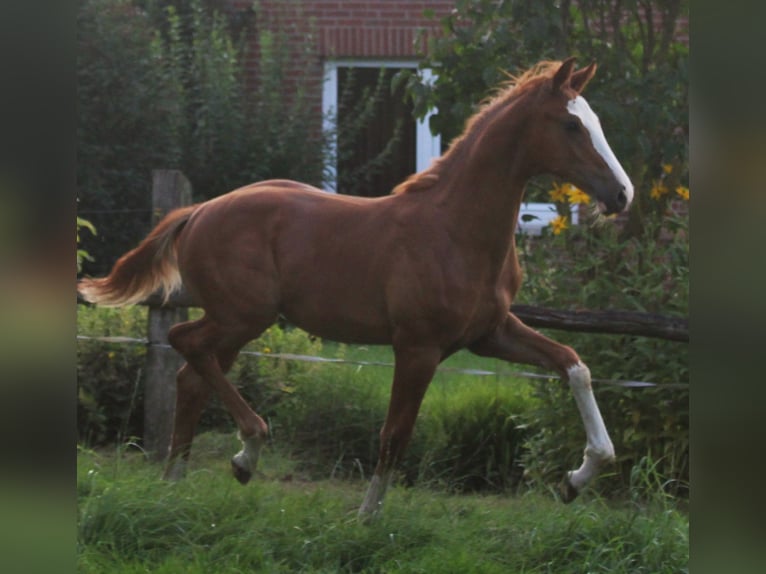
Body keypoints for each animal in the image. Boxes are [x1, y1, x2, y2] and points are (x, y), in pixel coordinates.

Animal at [81, 58, 636, 516]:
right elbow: (395, 433)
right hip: (242, 315)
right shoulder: (417, 346)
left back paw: (178, 481)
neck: (456, 231)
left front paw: (578, 478)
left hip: (238, 323)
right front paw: (366, 519)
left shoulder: (490, 333)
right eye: (571, 124)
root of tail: (197, 211)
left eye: (596, 121)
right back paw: (247, 450)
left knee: (191, 376)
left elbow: (573, 363)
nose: (622, 195)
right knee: (184, 344)